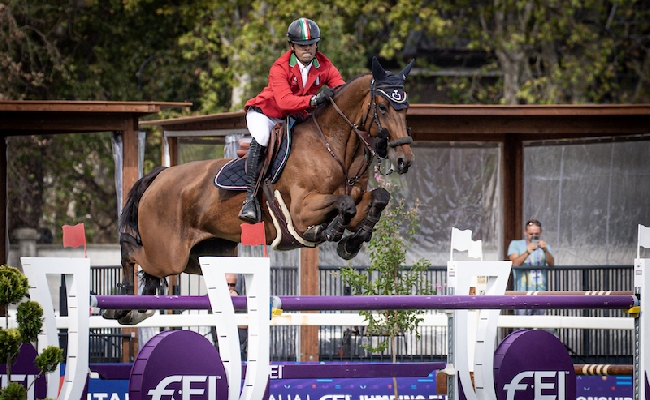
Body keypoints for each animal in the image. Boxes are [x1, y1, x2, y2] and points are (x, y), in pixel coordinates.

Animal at [103, 57, 412, 324]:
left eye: (406, 108)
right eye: (383, 107)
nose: (404, 160)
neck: (334, 147)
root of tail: (161, 176)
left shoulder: (356, 199)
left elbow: (376, 199)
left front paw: (353, 241)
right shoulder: (301, 211)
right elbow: (344, 204)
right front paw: (332, 231)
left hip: (201, 255)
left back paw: (139, 306)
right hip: (168, 254)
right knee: (130, 249)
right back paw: (120, 307)